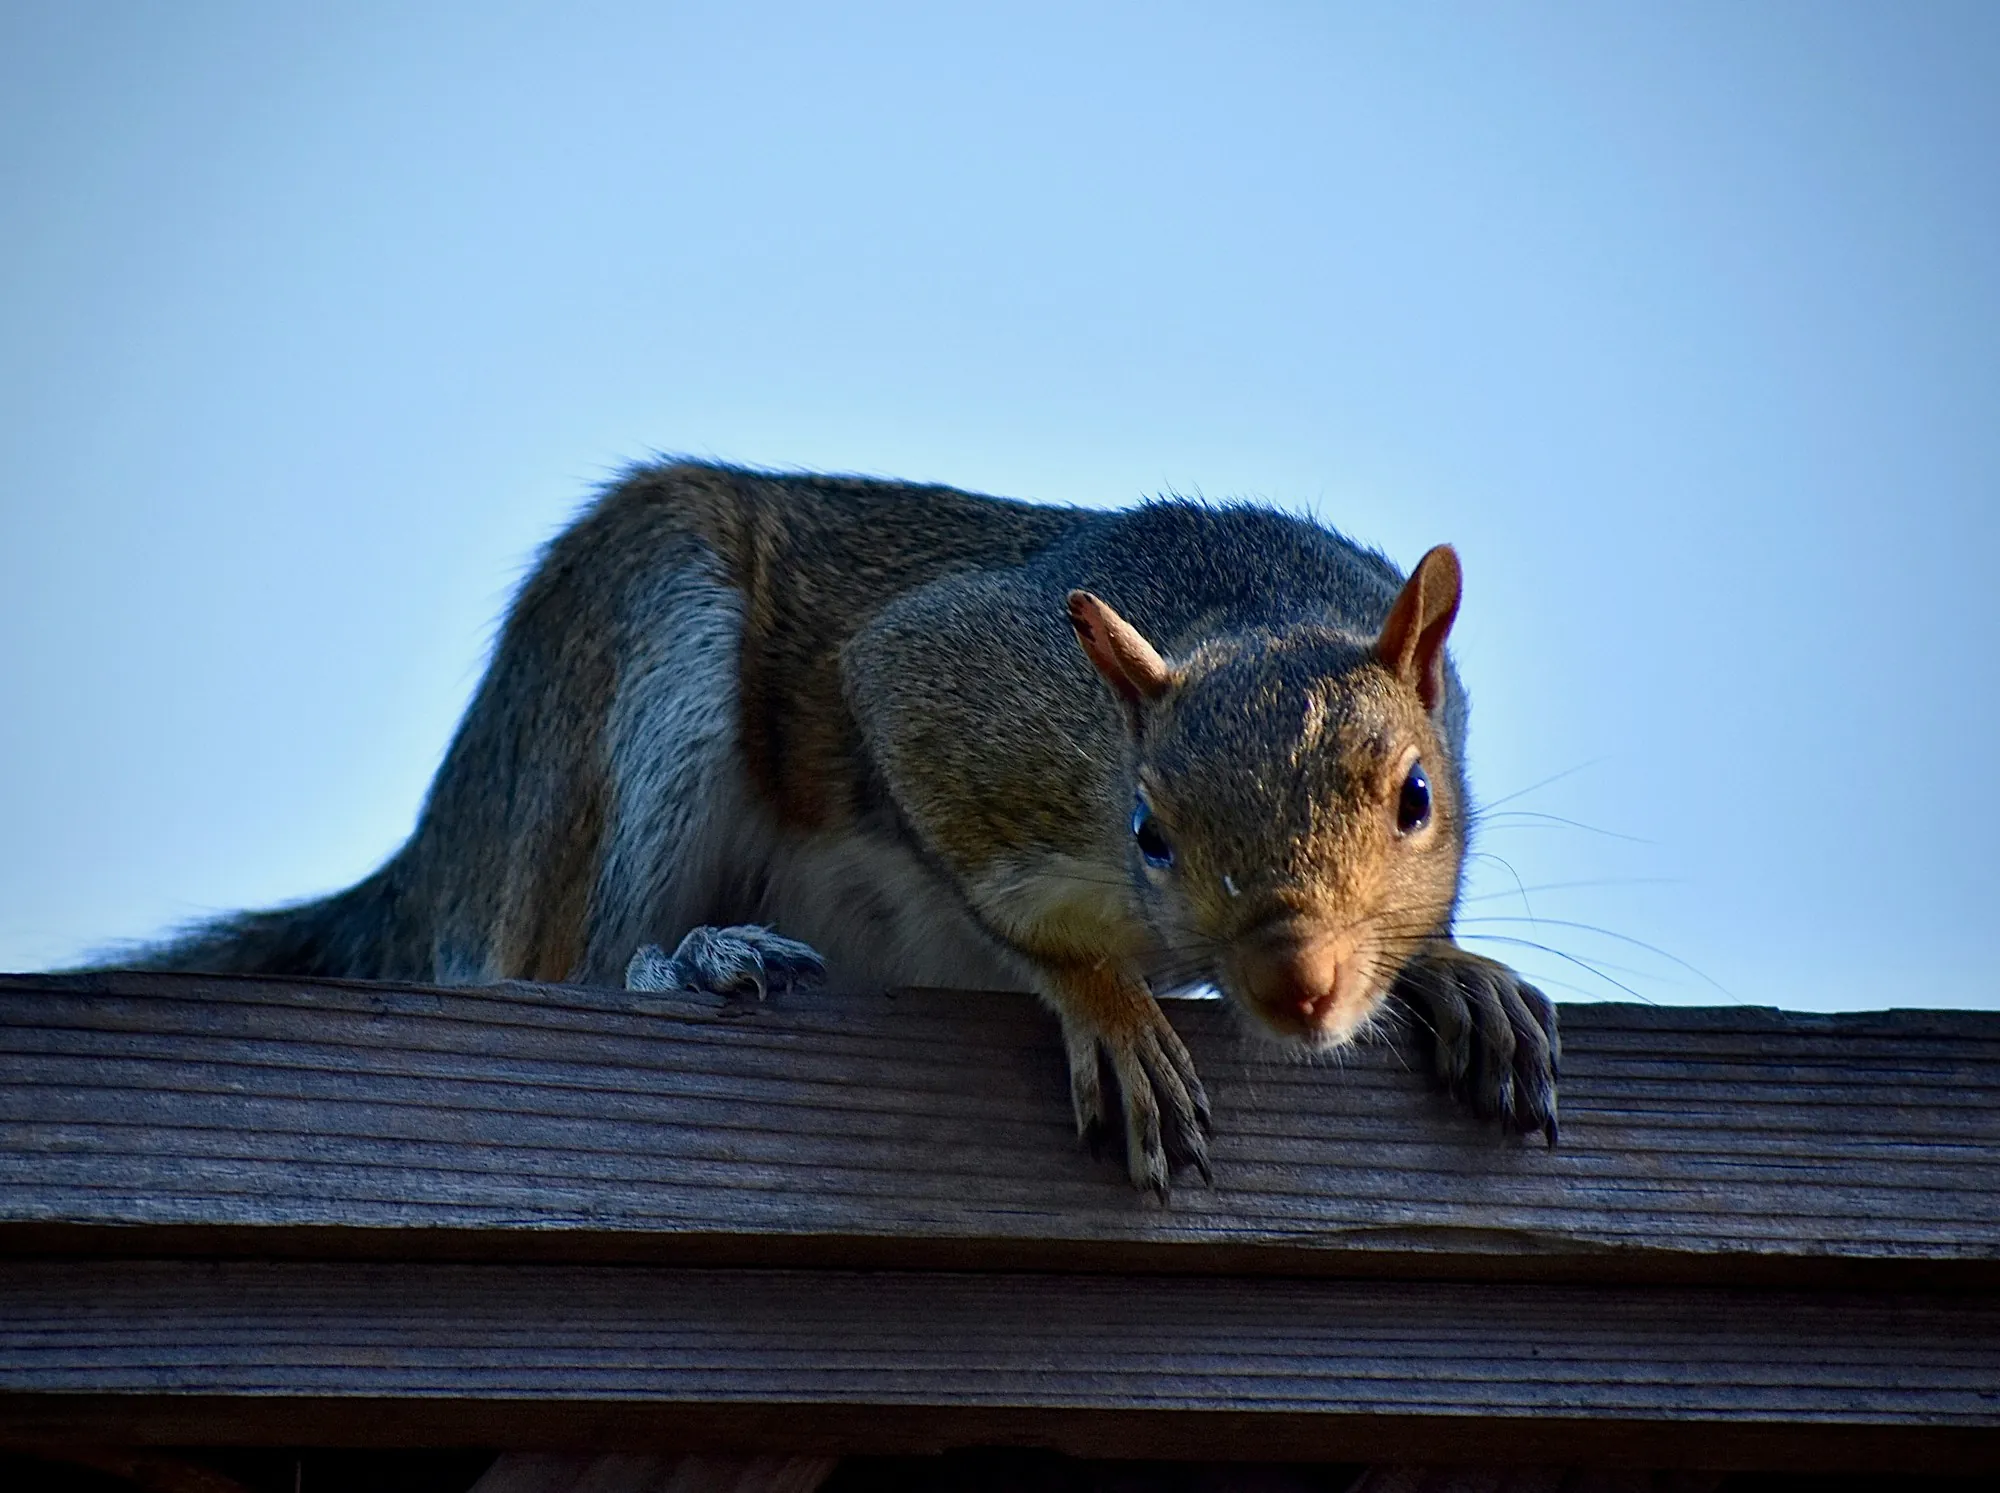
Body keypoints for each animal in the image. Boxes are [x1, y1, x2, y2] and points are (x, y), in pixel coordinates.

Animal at [133, 459, 1559, 1194]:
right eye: (1147, 829)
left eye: (1417, 797)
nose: (1299, 983)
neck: (1242, 614)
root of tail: (439, 851)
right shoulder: (965, 695)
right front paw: (1109, 1008)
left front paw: (1452, 972)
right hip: (633, 657)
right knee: (555, 968)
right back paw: (692, 960)